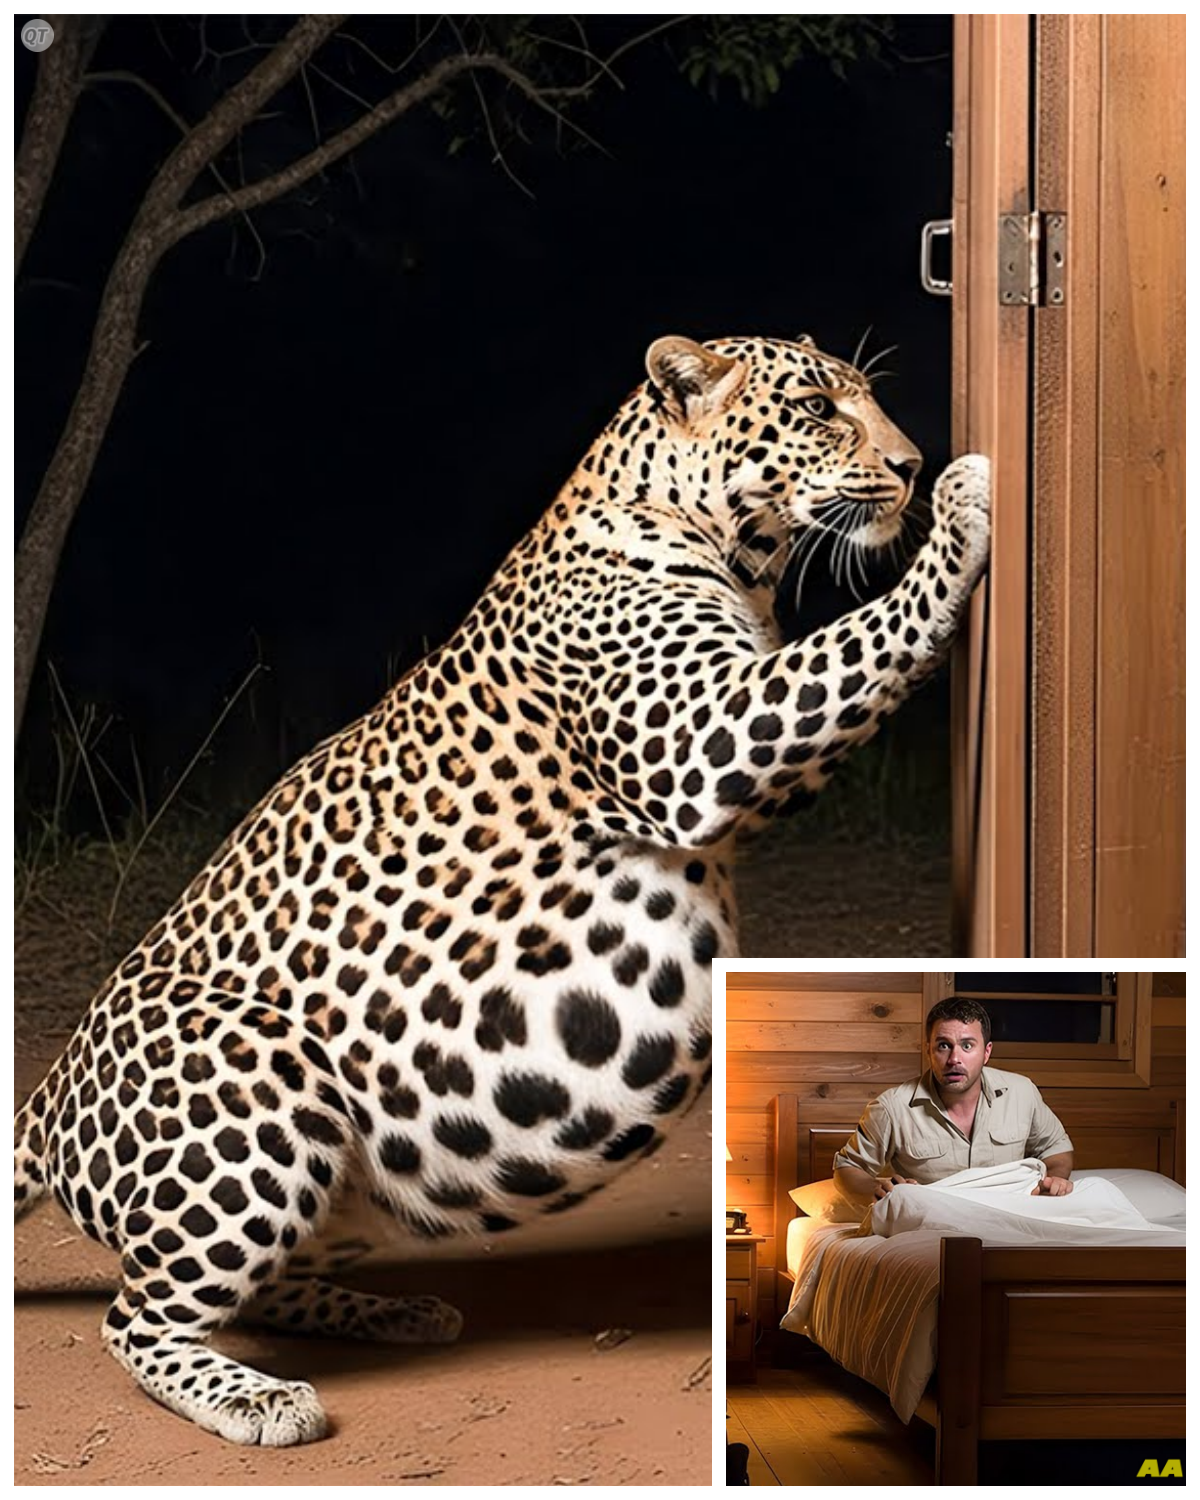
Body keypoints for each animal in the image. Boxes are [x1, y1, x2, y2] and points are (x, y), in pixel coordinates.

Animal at [14, 334, 990, 1446]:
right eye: (819, 408)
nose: (910, 464)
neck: (741, 558)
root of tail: (50, 1098)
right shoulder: (709, 738)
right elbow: (865, 636)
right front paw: (965, 501)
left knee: (261, 1286)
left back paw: (390, 1312)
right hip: (263, 1083)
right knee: (138, 1318)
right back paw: (256, 1396)